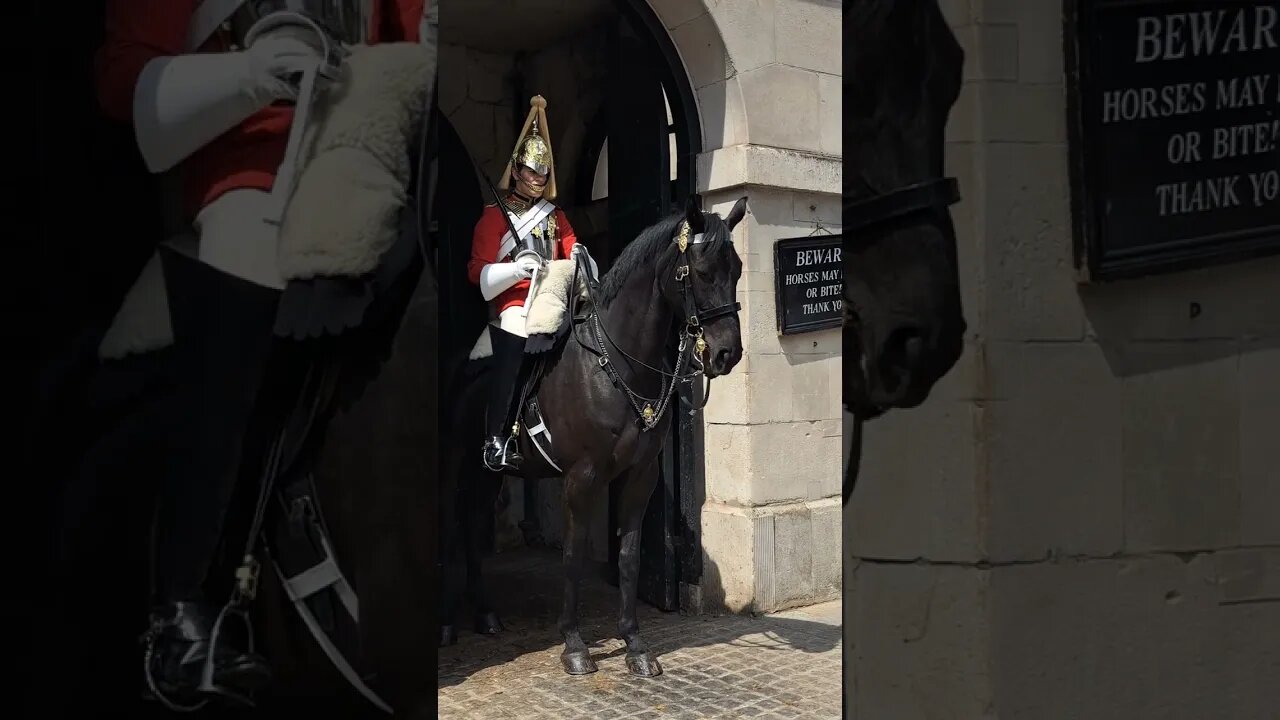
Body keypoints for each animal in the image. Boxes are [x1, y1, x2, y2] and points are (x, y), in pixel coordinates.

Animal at [442, 194, 747, 671]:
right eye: (699, 272)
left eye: (736, 269)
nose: (726, 353)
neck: (618, 364)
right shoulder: (580, 478)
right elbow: (572, 555)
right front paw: (573, 643)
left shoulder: (641, 475)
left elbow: (628, 554)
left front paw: (635, 644)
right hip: (458, 465)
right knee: (453, 529)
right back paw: (448, 626)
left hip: (490, 475)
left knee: (473, 524)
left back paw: (487, 615)